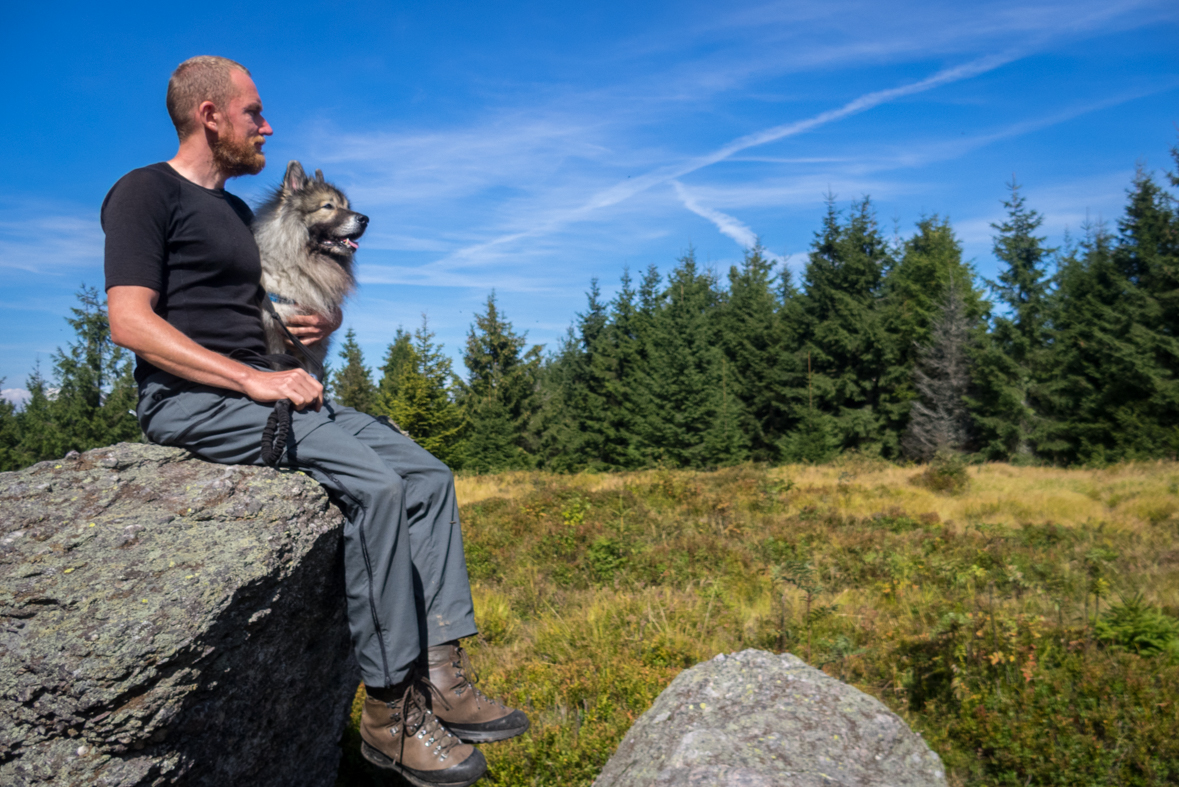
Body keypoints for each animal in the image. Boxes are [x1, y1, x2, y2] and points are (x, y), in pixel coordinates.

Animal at [253, 160, 367, 372]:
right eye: (328, 206)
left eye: (347, 206)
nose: (365, 219)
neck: (299, 266)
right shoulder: (275, 335)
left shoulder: (313, 345)